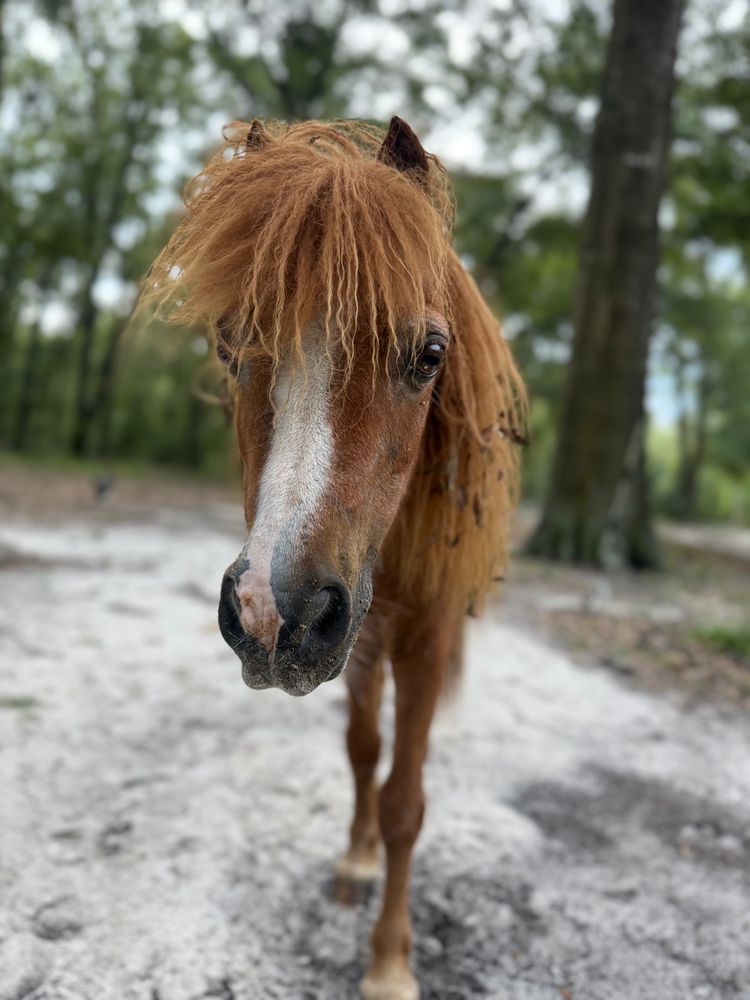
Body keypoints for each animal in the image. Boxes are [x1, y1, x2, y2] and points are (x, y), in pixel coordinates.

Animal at [145, 115, 526, 1000]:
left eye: (429, 353)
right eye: (228, 345)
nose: (269, 611)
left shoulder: (423, 641)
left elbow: (405, 801)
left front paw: (389, 964)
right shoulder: (358, 640)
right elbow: (362, 758)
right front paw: (356, 861)